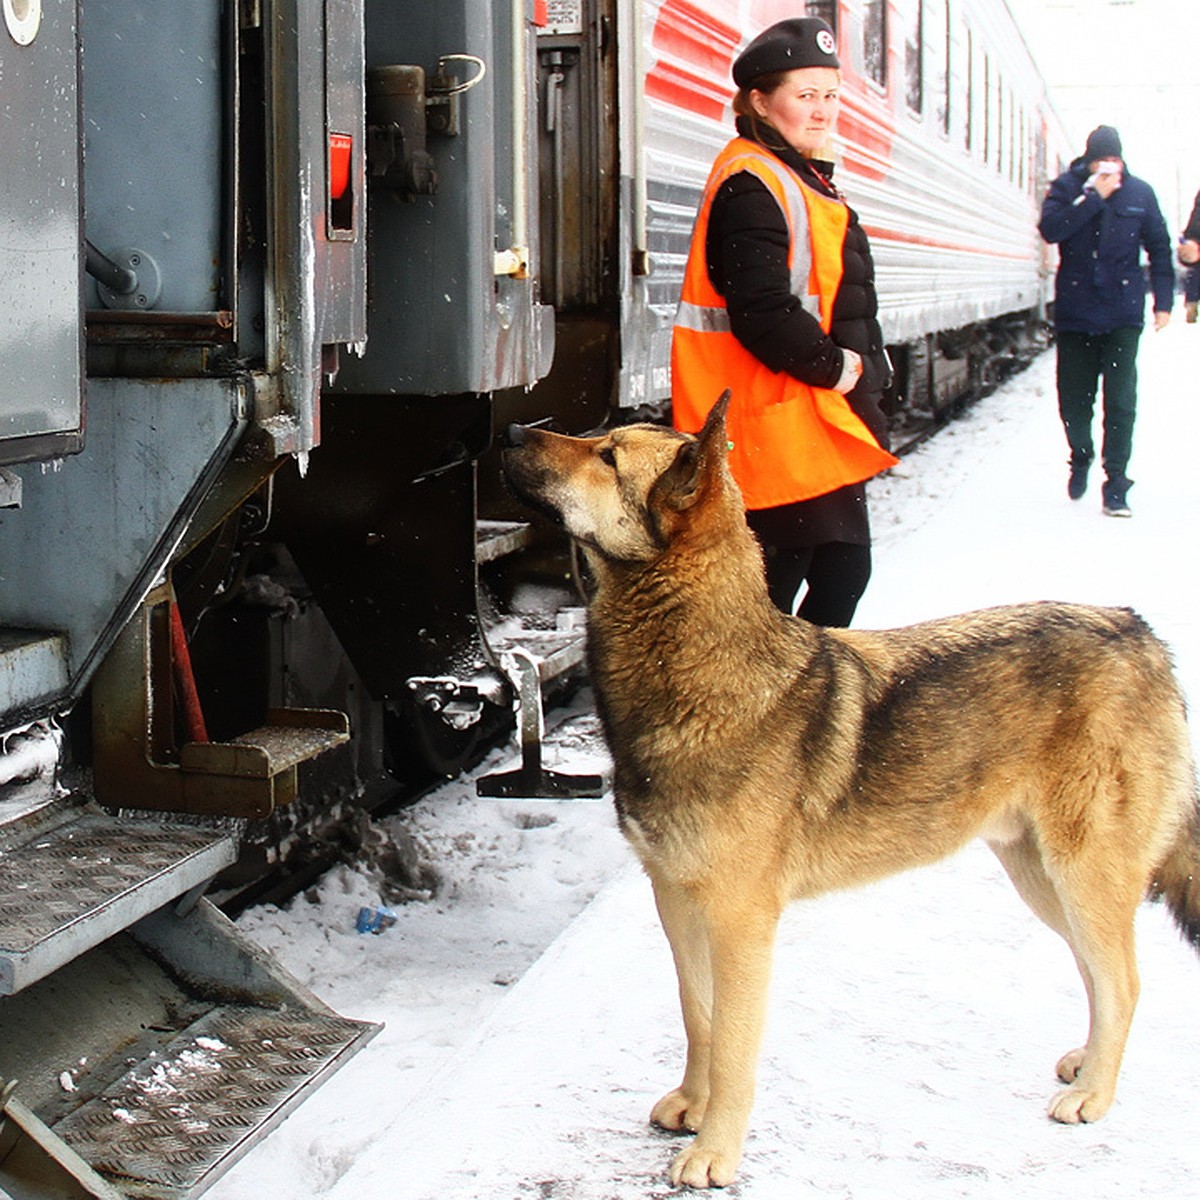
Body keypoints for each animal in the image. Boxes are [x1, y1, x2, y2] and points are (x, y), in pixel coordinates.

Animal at [499, 396, 1200, 1190]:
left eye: (608, 457)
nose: (513, 430)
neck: (699, 672)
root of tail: (1138, 630)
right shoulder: (675, 897)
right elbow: (697, 1015)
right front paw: (693, 1104)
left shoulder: (741, 921)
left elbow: (735, 1044)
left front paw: (716, 1150)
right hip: (1043, 878)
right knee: (1097, 971)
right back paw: (1086, 1064)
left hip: (1082, 874)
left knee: (1126, 980)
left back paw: (1096, 1095)